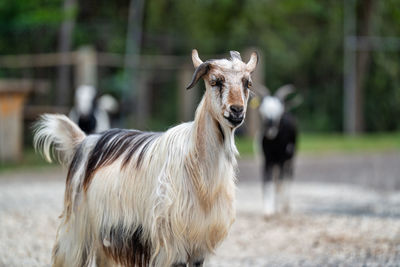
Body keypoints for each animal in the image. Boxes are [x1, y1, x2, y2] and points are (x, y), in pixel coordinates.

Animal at [33, 49, 260, 266]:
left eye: (247, 83)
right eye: (215, 81)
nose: (237, 110)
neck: (201, 177)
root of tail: (84, 139)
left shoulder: (199, 244)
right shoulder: (172, 243)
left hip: (104, 235)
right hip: (76, 227)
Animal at [258, 85, 298, 218]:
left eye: (278, 113)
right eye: (262, 112)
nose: (270, 130)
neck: (273, 145)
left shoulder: (281, 160)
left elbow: (280, 184)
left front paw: (278, 209)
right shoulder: (266, 160)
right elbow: (267, 183)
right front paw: (268, 211)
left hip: (290, 160)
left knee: (288, 178)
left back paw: (286, 206)